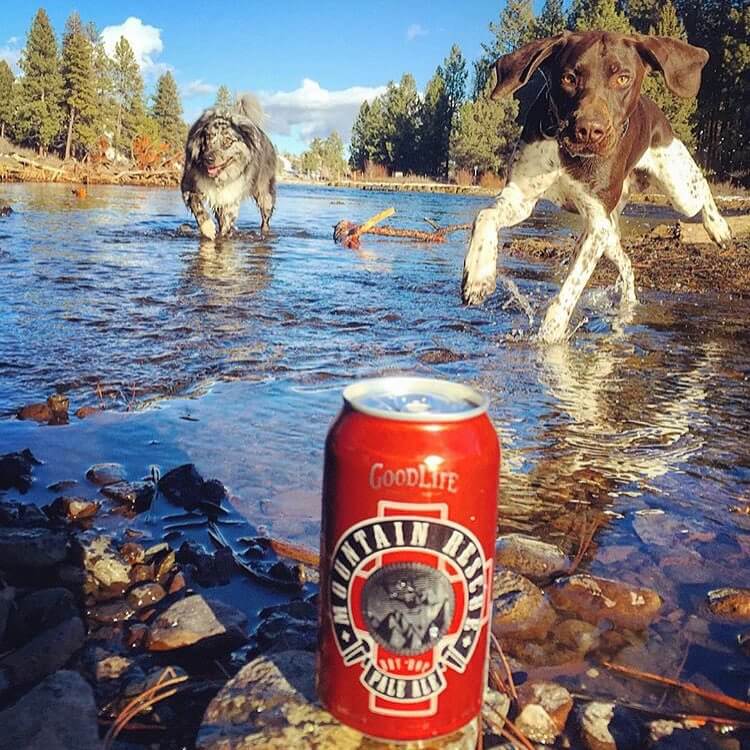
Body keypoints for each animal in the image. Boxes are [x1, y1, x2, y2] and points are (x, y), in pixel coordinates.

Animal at [181, 95, 278, 239]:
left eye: (227, 141)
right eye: (207, 137)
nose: (208, 159)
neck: (218, 178)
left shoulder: (230, 196)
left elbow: (226, 223)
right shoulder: (189, 184)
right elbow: (196, 204)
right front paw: (208, 228)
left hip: (265, 193)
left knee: (265, 217)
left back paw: (264, 231)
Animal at [464, 31, 736, 344]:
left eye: (623, 78)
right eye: (569, 78)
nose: (589, 131)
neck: (568, 155)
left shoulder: (595, 224)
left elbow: (567, 293)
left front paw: (550, 336)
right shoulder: (521, 198)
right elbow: (484, 216)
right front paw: (479, 276)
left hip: (677, 189)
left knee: (701, 187)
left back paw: (719, 228)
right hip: (610, 235)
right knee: (627, 264)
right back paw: (627, 304)